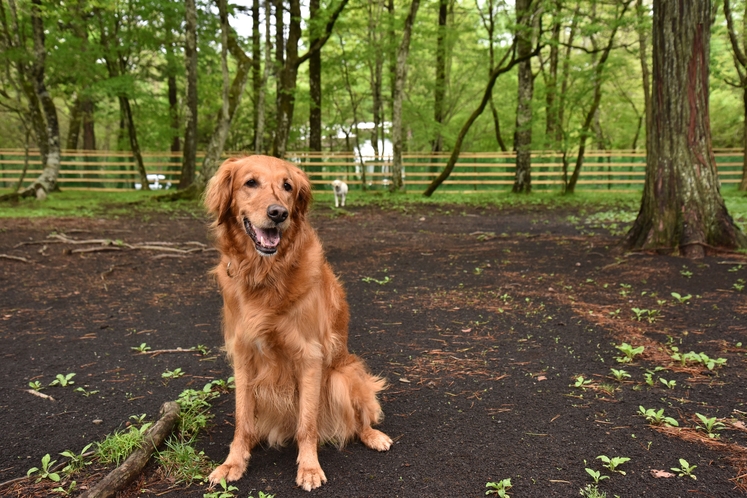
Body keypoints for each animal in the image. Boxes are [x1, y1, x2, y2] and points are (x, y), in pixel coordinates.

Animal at [205, 156, 392, 490]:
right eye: (250, 182)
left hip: (343, 376)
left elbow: (307, 423)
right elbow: (242, 420)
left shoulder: (309, 356)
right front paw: (233, 462)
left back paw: (374, 436)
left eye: (287, 186)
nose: (279, 213)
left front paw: (309, 468)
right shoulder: (243, 355)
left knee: (359, 420)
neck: (265, 274)